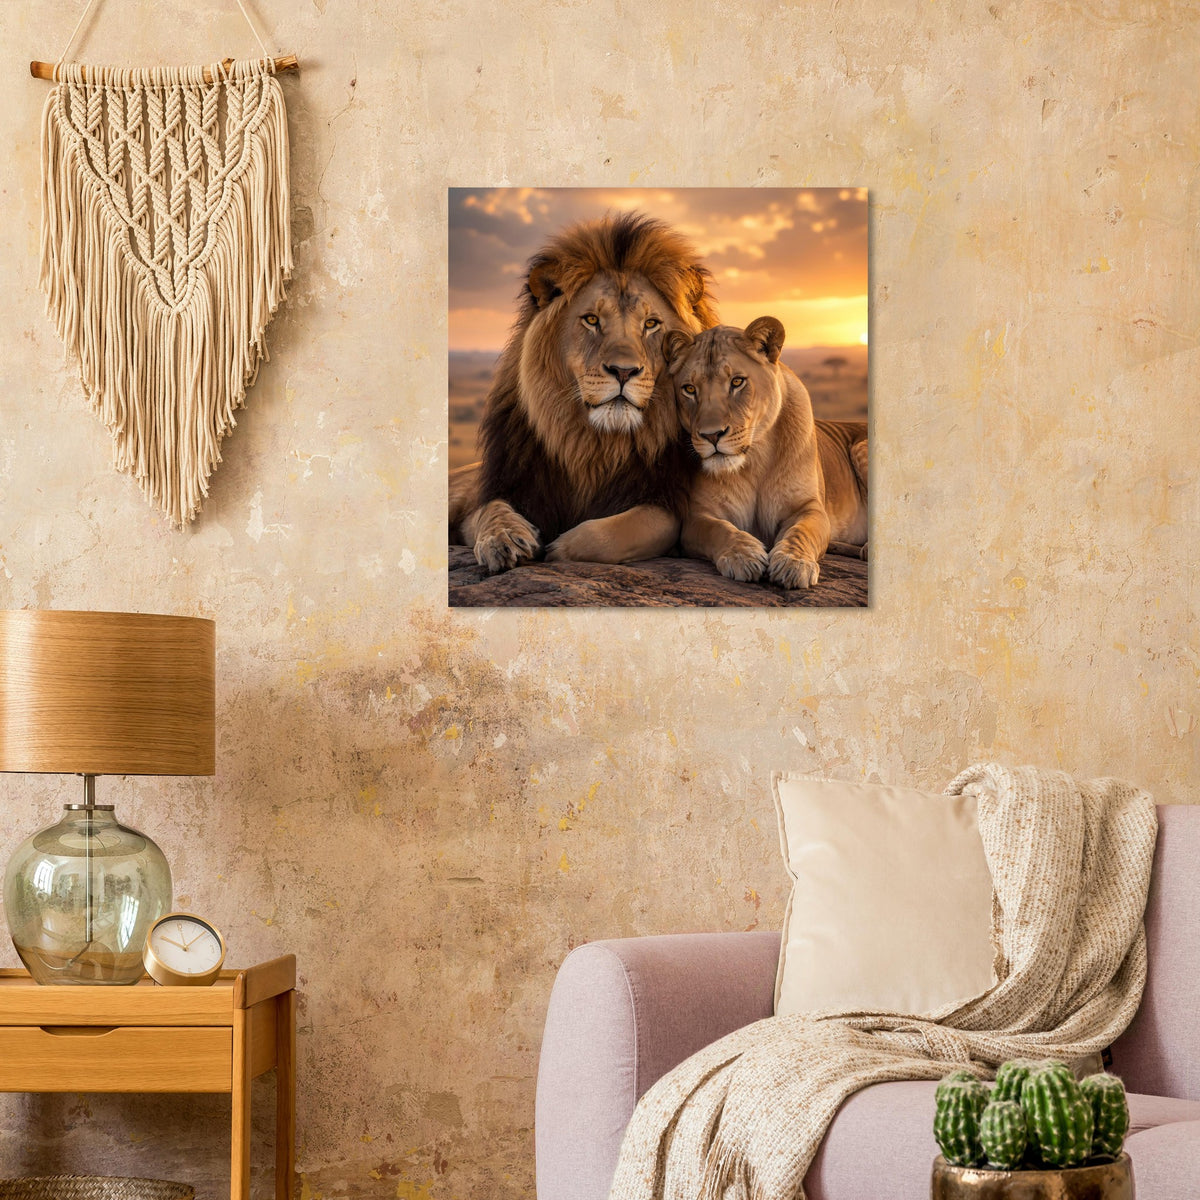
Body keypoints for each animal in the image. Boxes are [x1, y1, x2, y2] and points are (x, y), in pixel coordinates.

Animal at [450, 212, 718, 574]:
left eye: (651, 324)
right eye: (591, 320)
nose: (624, 371)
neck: (593, 446)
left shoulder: (666, 502)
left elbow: (619, 531)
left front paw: (557, 548)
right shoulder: (500, 489)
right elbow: (489, 510)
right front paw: (503, 539)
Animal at [664, 317, 868, 589]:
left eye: (737, 382)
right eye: (689, 389)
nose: (711, 435)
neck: (755, 459)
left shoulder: (809, 507)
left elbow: (800, 532)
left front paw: (793, 563)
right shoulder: (697, 516)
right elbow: (719, 530)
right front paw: (744, 555)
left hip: (861, 446)